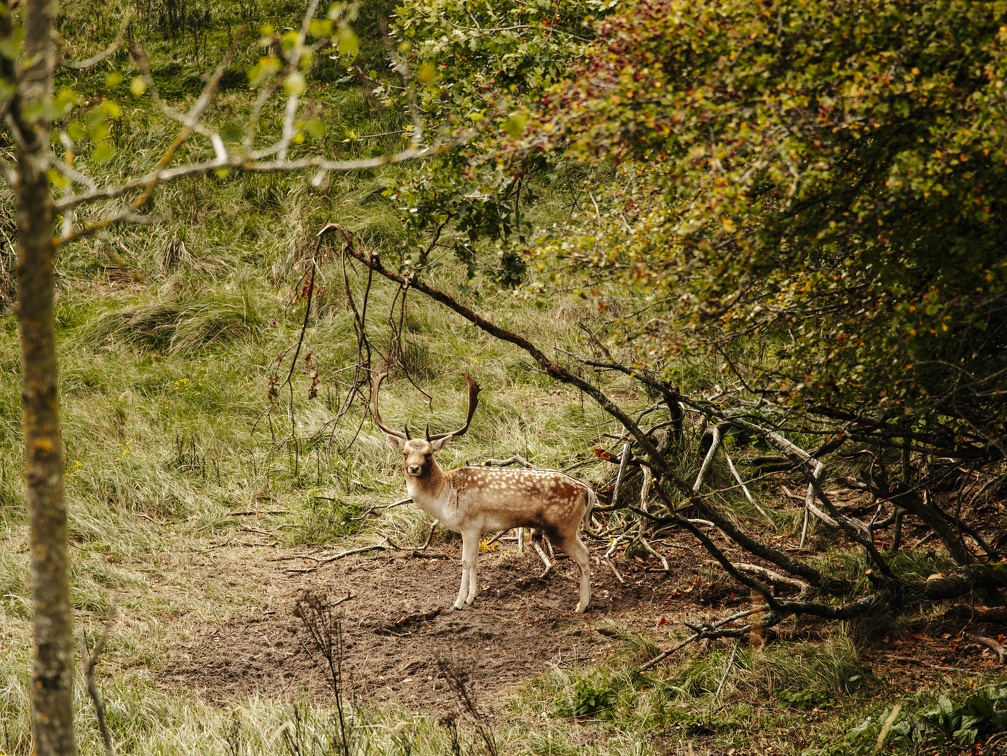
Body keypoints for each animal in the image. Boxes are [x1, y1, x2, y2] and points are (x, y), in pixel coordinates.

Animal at [374, 372, 592, 616]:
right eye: (405, 452)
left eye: (428, 454)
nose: (414, 468)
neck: (446, 498)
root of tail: (587, 490)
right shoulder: (477, 529)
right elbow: (476, 561)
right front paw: (472, 597)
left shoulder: (470, 524)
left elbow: (465, 561)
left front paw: (458, 602)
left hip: (562, 526)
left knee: (585, 556)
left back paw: (581, 605)